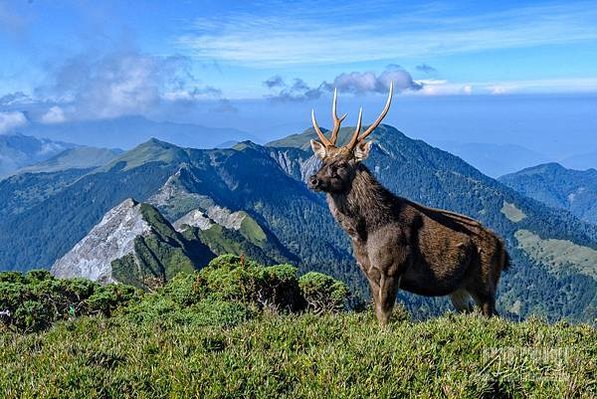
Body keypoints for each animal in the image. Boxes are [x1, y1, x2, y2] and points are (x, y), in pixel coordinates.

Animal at [308, 83, 508, 326]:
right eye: (323, 160)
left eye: (342, 163)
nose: (313, 179)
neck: (364, 233)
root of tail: (503, 248)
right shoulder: (369, 272)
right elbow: (378, 312)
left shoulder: (393, 267)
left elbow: (385, 315)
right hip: (458, 289)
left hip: (485, 279)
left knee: (493, 314)